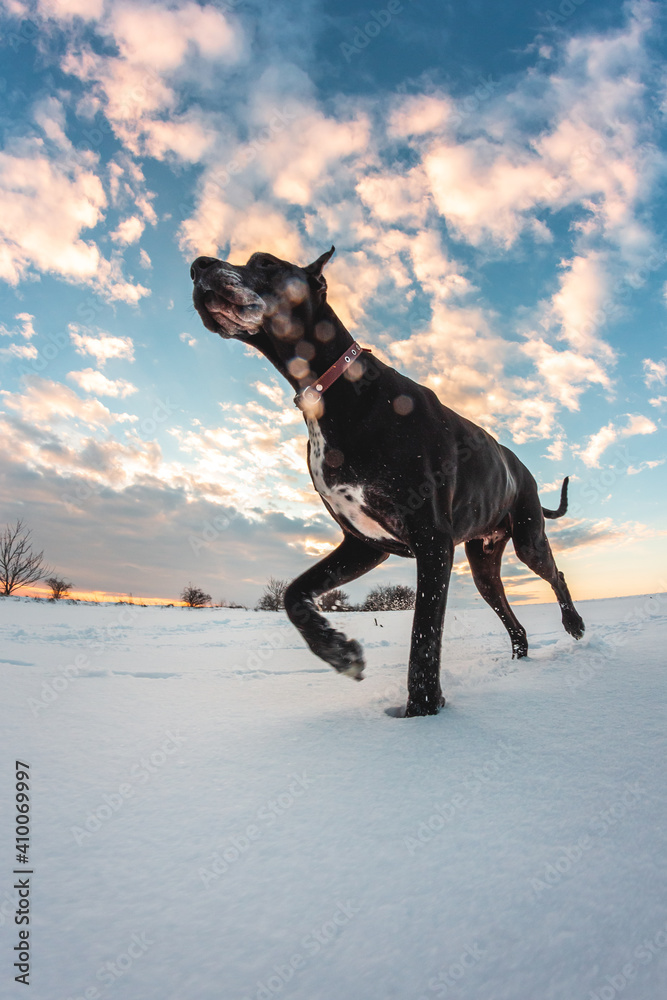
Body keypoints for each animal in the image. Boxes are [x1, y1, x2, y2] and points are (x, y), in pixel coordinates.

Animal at [189, 249, 584, 720]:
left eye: (265, 263)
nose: (197, 265)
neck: (335, 392)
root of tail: (521, 468)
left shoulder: (432, 541)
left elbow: (423, 637)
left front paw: (422, 712)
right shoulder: (363, 543)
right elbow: (294, 593)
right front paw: (338, 651)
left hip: (528, 538)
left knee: (556, 574)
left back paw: (574, 624)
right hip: (484, 566)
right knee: (511, 615)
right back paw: (518, 663)